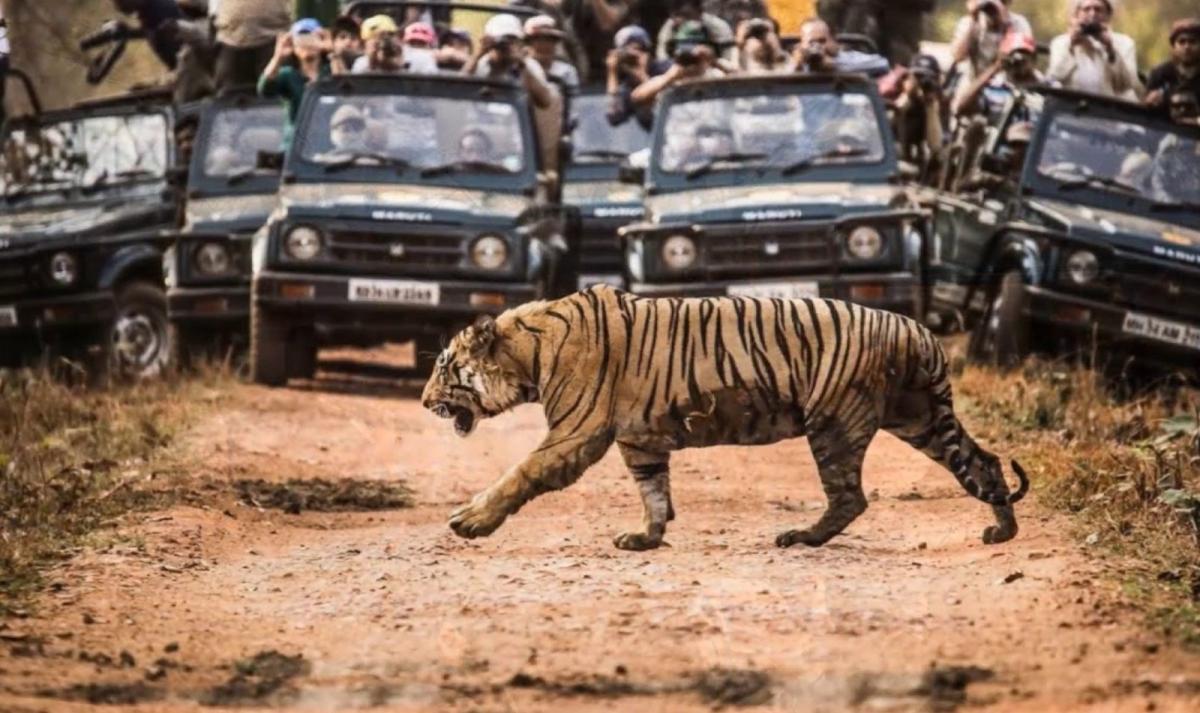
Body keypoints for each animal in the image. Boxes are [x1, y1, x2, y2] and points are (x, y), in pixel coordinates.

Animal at [421, 285, 1028, 551]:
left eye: (445, 367)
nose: (425, 402)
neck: (527, 352)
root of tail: (919, 331)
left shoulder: (576, 433)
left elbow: (518, 474)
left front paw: (469, 521)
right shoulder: (640, 441)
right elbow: (654, 491)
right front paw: (646, 537)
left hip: (835, 422)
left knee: (851, 497)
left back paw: (801, 537)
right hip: (919, 417)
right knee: (985, 463)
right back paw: (1001, 530)